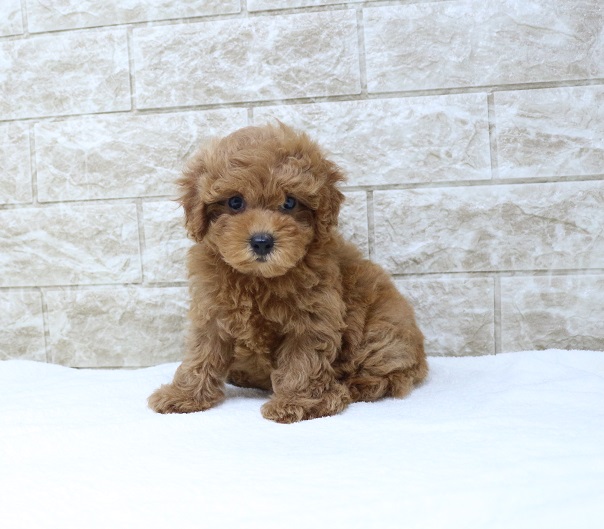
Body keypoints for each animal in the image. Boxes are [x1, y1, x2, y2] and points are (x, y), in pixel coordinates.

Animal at [148, 121, 428, 422]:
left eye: (290, 203)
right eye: (235, 202)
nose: (262, 241)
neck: (258, 278)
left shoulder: (313, 317)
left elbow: (304, 358)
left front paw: (300, 402)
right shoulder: (212, 310)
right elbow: (202, 352)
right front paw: (184, 395)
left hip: (382, 332)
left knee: (390, 375)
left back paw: (351, 386)